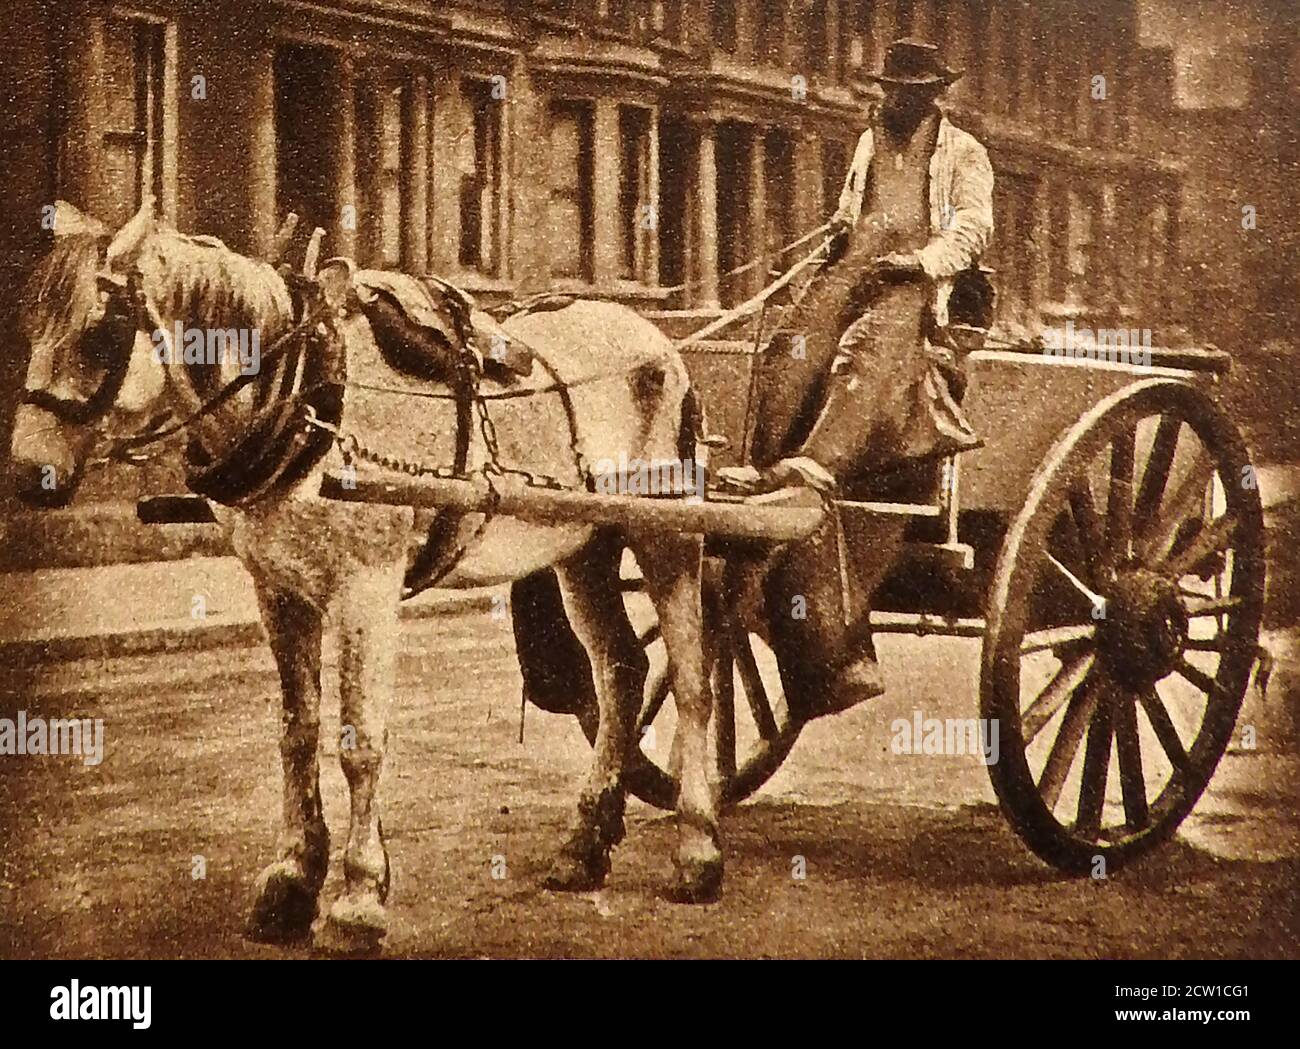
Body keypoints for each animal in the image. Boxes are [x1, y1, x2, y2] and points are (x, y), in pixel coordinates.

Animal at [10, 198, 717, 961]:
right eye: (31, 324)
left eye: (100, 329)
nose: (26, 473)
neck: (306, 392)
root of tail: (659, 342)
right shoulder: (279, 590)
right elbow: (296, 733)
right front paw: (292, 880)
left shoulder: (365, 590)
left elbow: (360, 742)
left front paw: (356, 898)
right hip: (584, 544)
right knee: (621, 672)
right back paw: (585, 845)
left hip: (669, 531)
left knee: (692, 681)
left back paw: (699, 850)